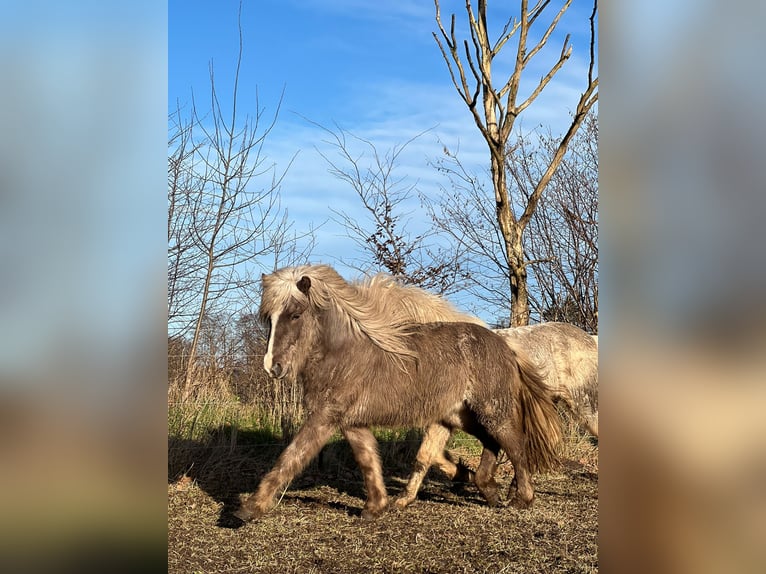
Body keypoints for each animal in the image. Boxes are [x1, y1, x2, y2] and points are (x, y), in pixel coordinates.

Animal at [236, 266, 564, 520]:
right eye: (268, 317)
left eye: (295, 315)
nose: (273, 367)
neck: (345, 355)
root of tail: (505, 346)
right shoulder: (351, 423)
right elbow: (368, 460)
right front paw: (376, 507)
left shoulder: (324, 417)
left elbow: (291, 457)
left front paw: (249, 508)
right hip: (461, 416)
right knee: (490, 444)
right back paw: (483, 488)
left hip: (491, 411)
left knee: (515, 446)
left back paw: (521, 498)